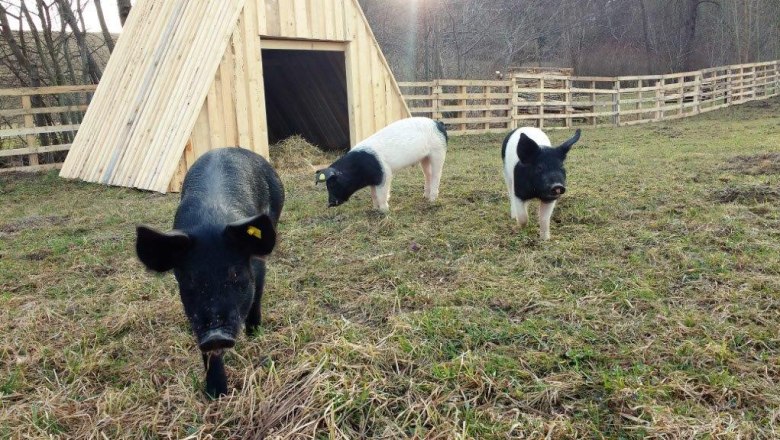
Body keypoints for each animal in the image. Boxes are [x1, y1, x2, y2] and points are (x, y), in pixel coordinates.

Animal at [135, 147, 284, 398]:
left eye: (235, 273)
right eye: (189, 279)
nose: (215, 336)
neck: (210, 220)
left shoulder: (256, 264)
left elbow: (257, 295)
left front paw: (255, 333)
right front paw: (216, 395)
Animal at [315, 117, 448, 213]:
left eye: (332, 184)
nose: (330, 203)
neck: (359, 170)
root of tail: (438, 123)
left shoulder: (385, 174)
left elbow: (381, 194)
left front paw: (384, 211)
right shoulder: (373, 180)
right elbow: (373, 195)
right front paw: (374, 209)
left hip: (438, 151)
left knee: (437, 175)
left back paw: (432, 200)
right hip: (424, 158)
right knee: (428, 174)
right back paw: (425, 196)